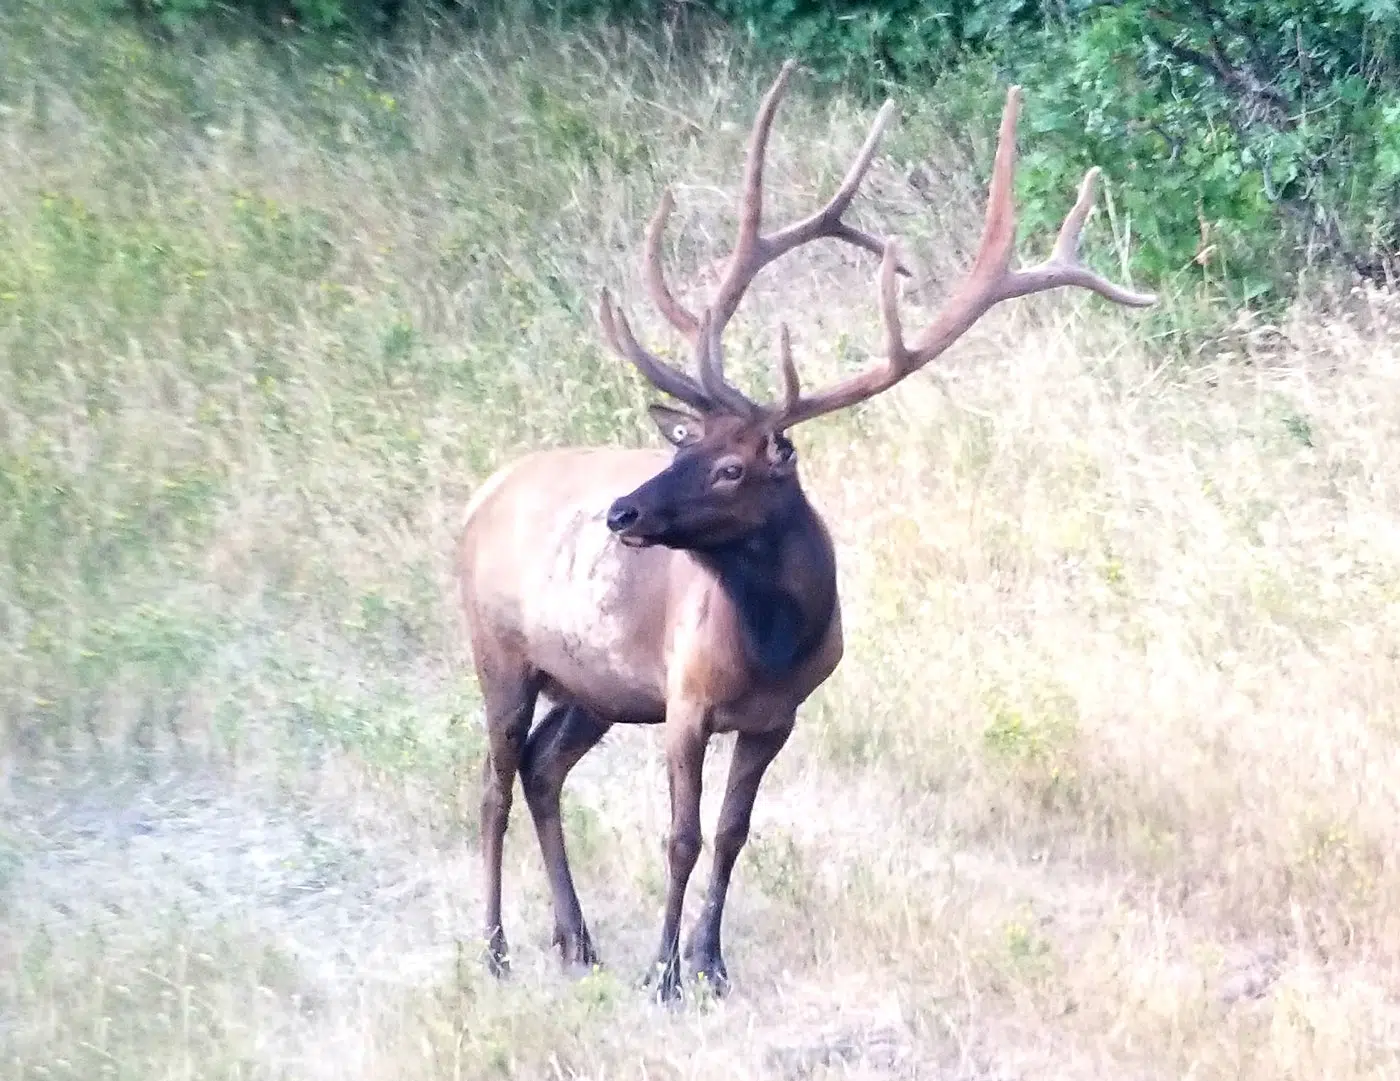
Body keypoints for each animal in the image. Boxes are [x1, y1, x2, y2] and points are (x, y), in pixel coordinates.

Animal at [453, 61, 1153, 996]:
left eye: (731, 467)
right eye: (685, 441)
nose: (621, 512)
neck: (773, 641)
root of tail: (481, 494)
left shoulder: (777, 715)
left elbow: (731, 835)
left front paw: (710, 962)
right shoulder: (684, 700)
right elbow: (679, 836)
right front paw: (664, 975)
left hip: (593, 686)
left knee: (539, 769)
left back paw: (578, 938)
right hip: (499, 648)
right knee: (492, 784)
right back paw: (494, 946)